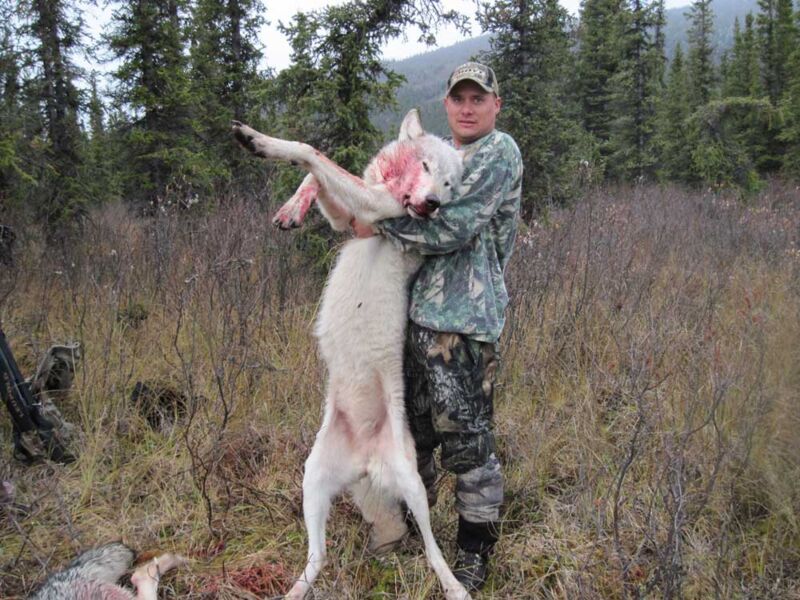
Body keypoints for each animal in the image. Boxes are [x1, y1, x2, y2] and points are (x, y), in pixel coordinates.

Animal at [233, 110, 470, 600]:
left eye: (451, 184)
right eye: (425, 166)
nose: (434, 205)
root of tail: (365, 462)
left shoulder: (377, 210)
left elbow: (310, 150)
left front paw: (258, 141)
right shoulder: (351, 216)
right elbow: (316, 173)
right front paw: (292, 208)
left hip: (414, 487)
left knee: (433, 549)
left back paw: (456, 586)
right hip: (311, 482)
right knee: (316, 559)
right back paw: (293, 591)